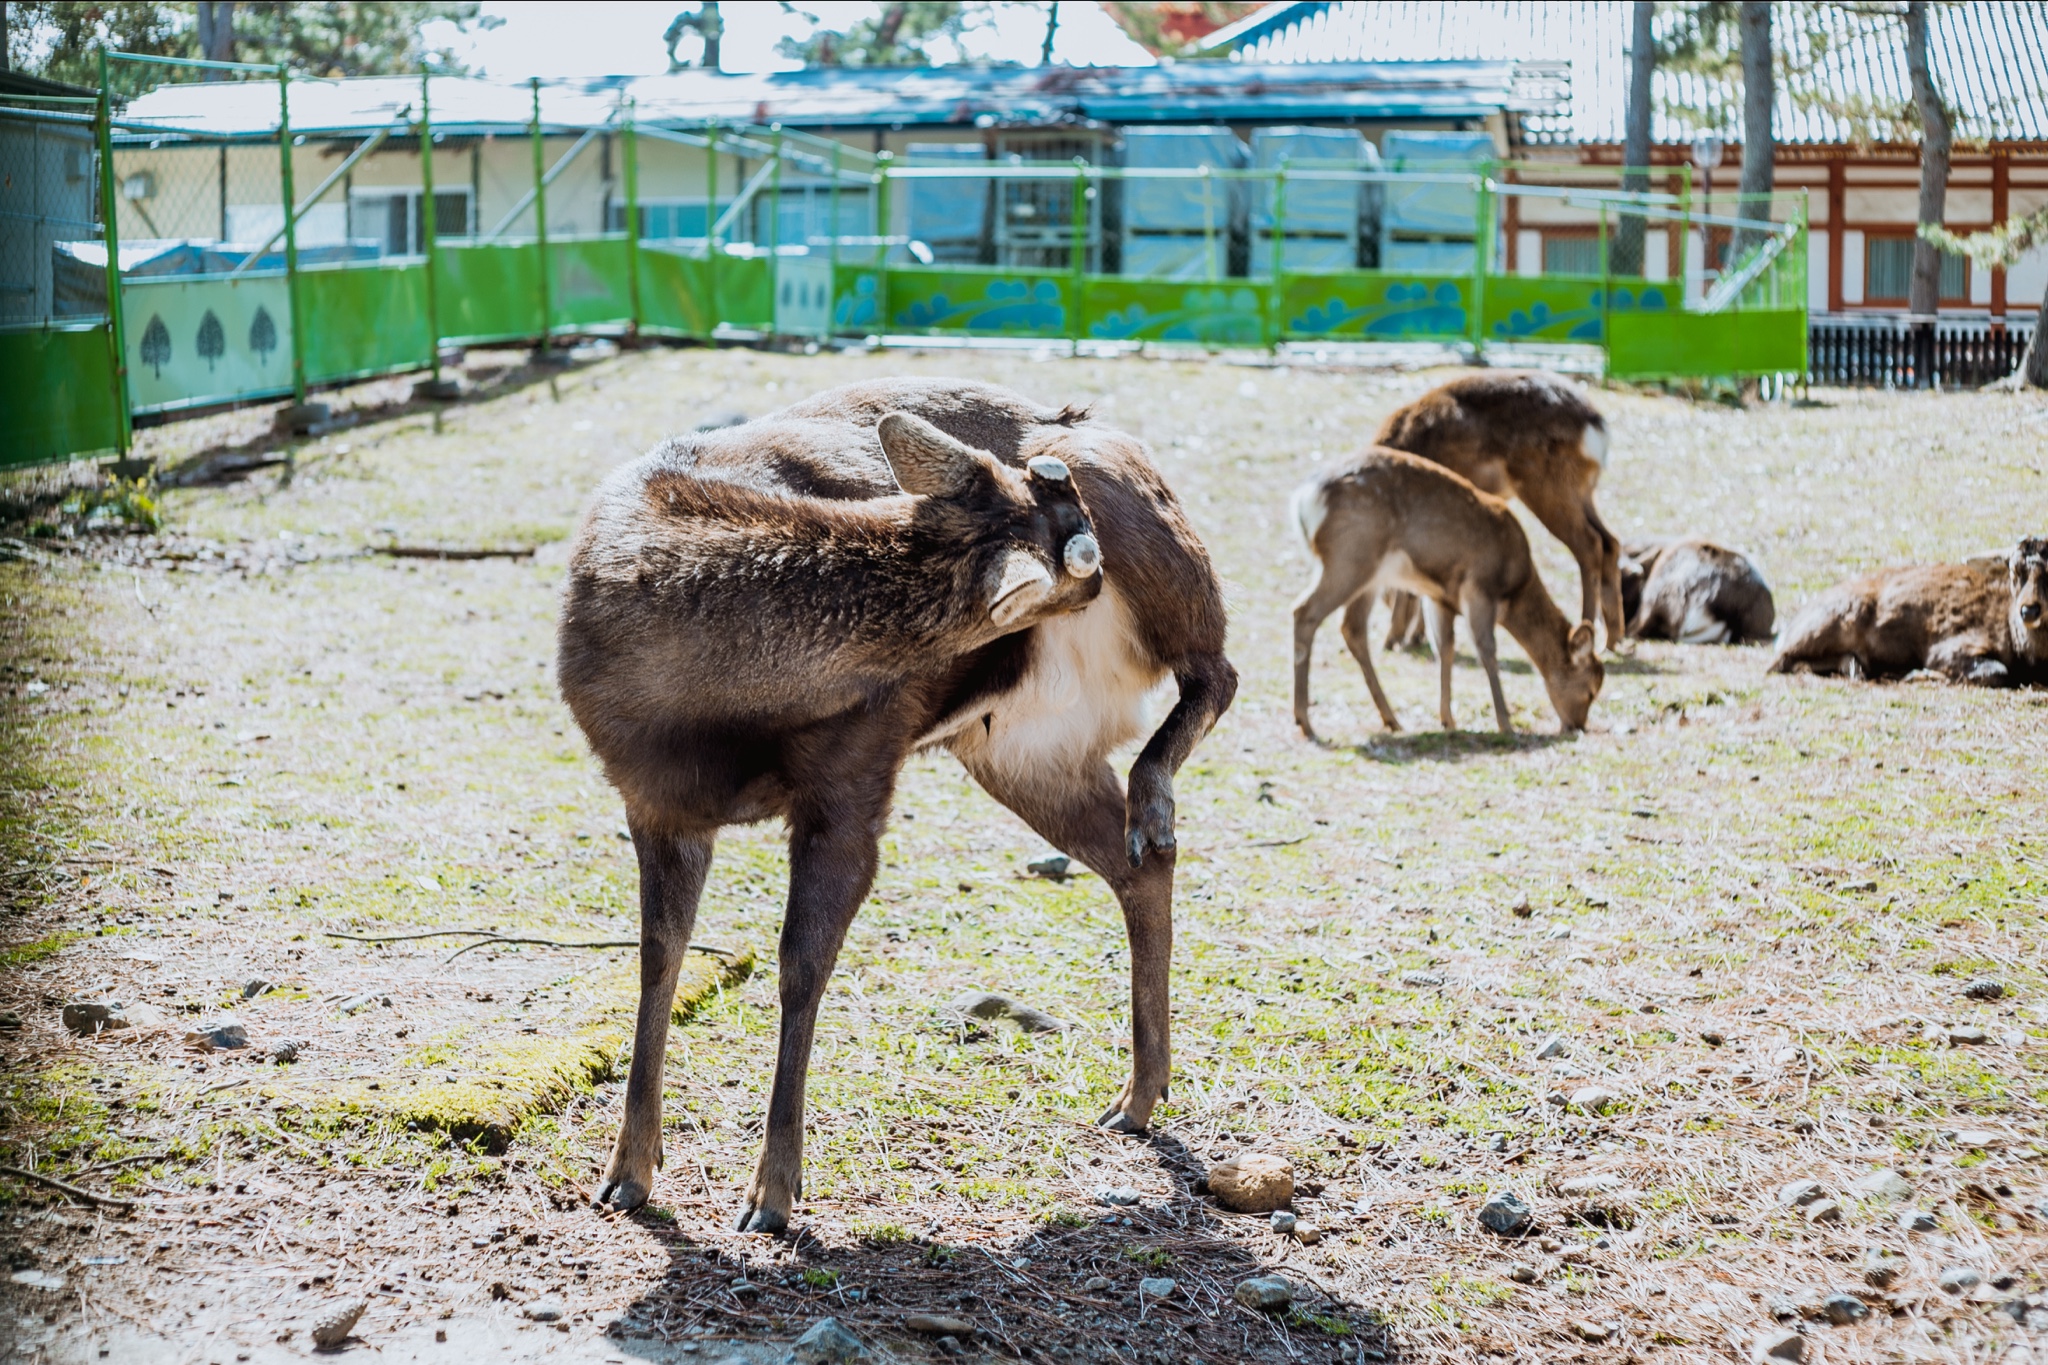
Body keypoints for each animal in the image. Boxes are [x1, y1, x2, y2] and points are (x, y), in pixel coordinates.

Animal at [552, 378, 1236, 1236]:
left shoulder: (857, 775)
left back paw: (1155, 793)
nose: (1101, 575)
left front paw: (773, 1192)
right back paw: (1137, 1095)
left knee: (1218, 669)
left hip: (1158, 550)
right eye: (1077, 550)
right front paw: (626, 1173)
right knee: (1134, 866)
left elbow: (800, 964)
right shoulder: (653, 799)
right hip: (1023, 747)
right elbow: (657, 955)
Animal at [1286, 448, 1605, 736]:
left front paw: (1448, 719)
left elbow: (1445, 649)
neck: (1514, 590)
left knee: (1352, 628)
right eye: (1591, 689)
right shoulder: (1479, 587)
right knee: (1304, 612)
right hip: (1349, 558)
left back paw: (1391, 719)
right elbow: (1486, 650)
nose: (1578, 726)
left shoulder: (1440, 598)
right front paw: (1506, 724)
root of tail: (1304, 498)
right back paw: (1305, 721)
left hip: (1368, 576)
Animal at [1368, 370, 1622, 654]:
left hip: (1546, 487)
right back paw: (1613, 639)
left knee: (1589, 544)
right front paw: (1414, 635)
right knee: (1610, 541)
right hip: (1583, 491)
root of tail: (1597, 426)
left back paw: (1588, 628)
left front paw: (1393, 638)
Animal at [1777, 540, 2048, 687]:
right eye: (2013, 571)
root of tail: (1787, 629)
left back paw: (1855, 666)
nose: (2029, 610)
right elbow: (1998, 672)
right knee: (1781, 661)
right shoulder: (1949, 646)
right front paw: (1919, 673)